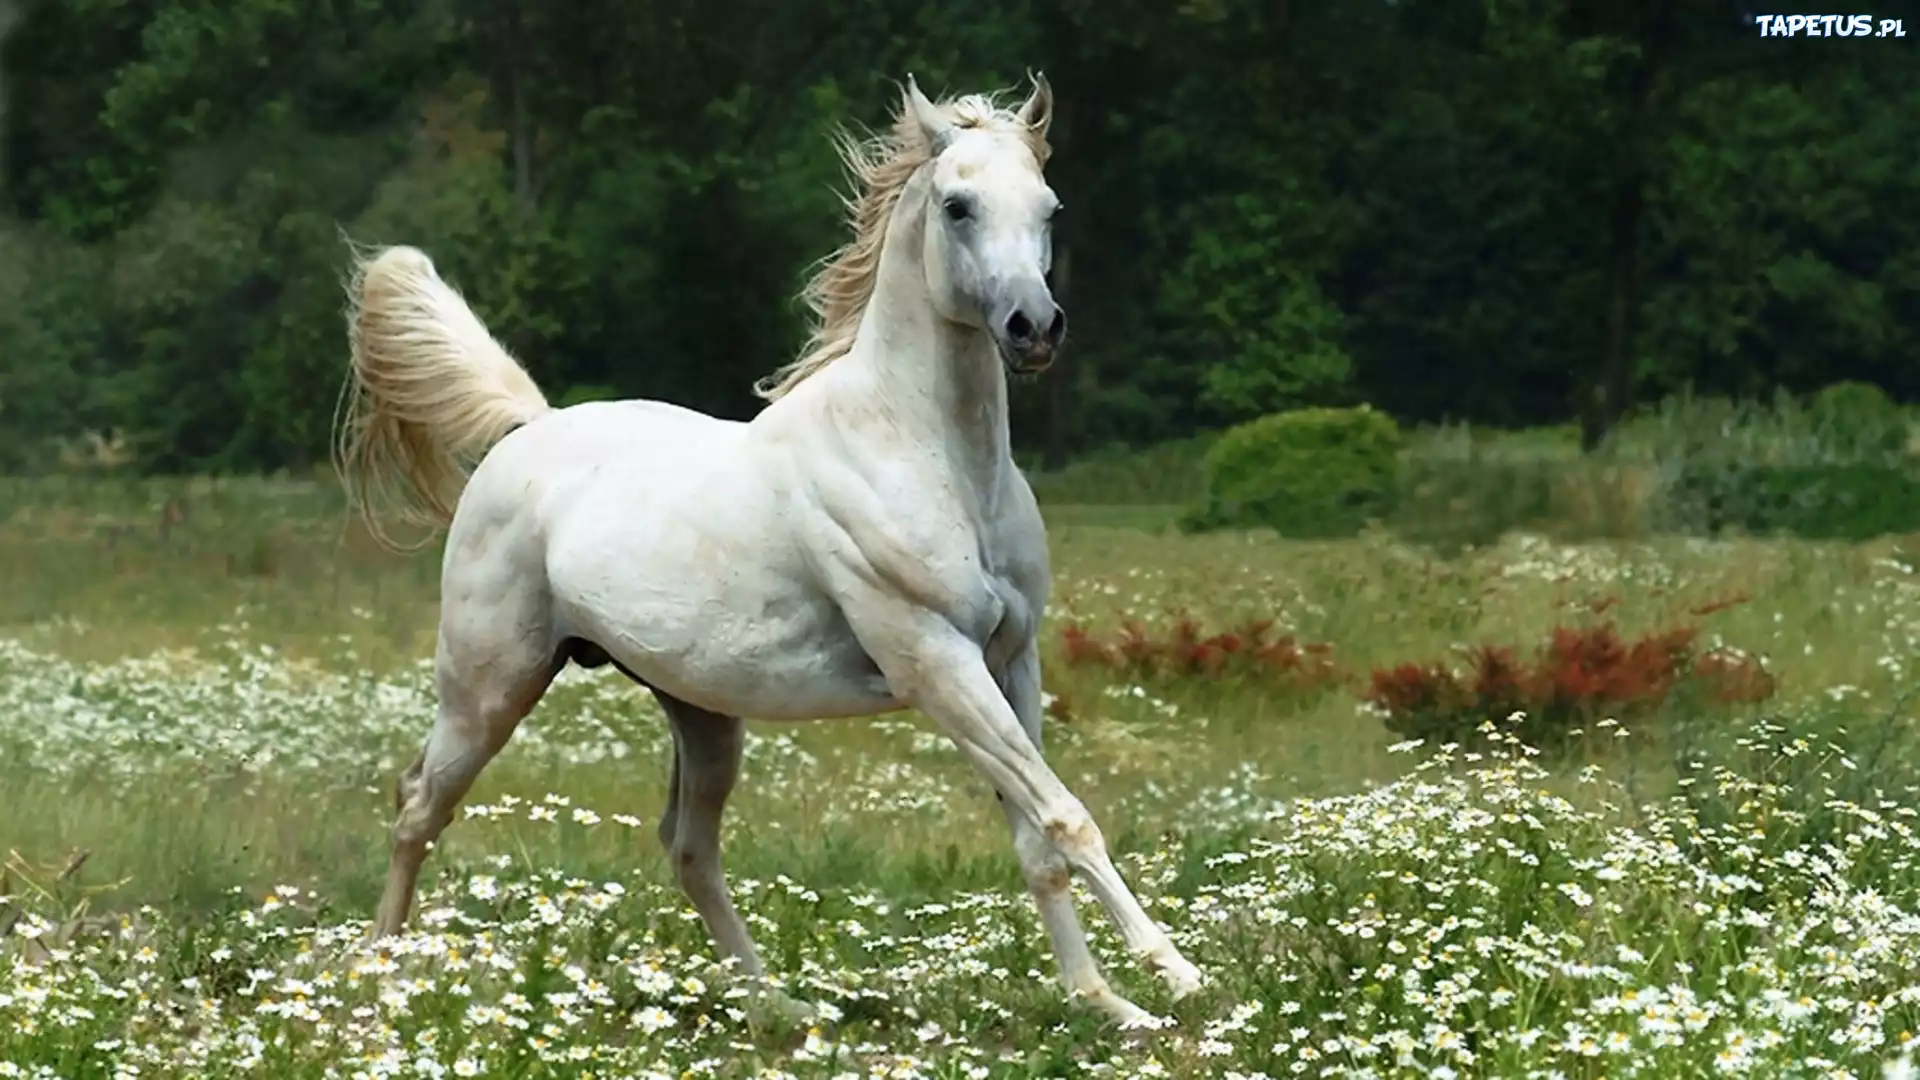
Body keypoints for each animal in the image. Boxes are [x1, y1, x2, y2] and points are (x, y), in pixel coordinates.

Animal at [330, 73, 1198, 1014]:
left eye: (1049, 206)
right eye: (958, 206)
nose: (1033, 327)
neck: (924, 455)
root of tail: (529, 428)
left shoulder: (1011, 661)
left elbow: (1039, 835)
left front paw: (1105, 1004)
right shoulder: (937, 664)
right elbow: (1065, 813)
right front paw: (1175, 972)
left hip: (700, 712)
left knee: (687, 847)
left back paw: (779, 1007)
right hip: (488, 687)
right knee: (419, 806)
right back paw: (376, 975)